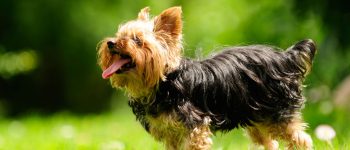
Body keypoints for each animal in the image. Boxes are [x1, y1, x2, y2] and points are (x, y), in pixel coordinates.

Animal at [97, 6, 316, 149]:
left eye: (137, 41)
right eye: (119, 35)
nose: (111, 43)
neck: (163, 83)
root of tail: (286, 57)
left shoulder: (195, 128)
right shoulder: (171, 134)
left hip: (278, 113)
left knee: (302, 140)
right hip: (257, 117)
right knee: (269, 142)